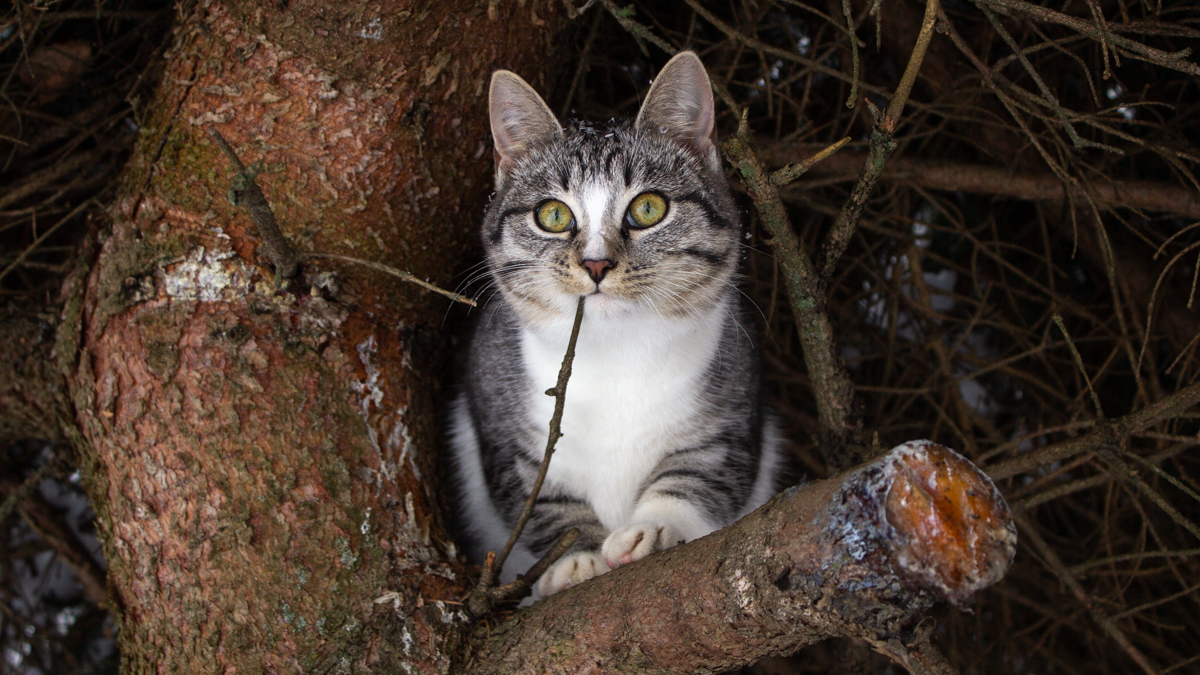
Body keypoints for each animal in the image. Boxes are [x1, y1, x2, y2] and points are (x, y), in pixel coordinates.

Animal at [446, 53, 782, 598]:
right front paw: (575, 558)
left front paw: (655, 527)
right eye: (552, 215)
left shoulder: (731, 408)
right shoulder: (505, 431)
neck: (614, 352)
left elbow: (700, 478)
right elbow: (537, 503)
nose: (597, 263)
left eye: (648, 207)